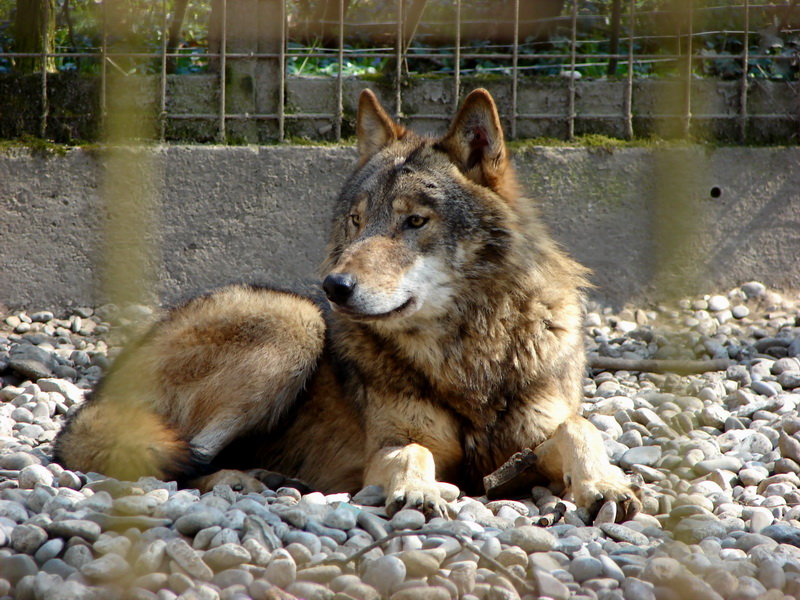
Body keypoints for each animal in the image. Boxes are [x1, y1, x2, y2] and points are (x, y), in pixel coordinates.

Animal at [53, 88, 640, 520]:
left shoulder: (530, 442)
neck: (469, 354)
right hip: (295, 321)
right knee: (182, 462)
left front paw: (604, 484)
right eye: (357, 221)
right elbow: (412, 453)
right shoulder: (390, 445)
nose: (334, 286)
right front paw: (418, 490)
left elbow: (580, 428)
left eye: (414, 221)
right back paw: (246, 480)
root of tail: (97, 396)